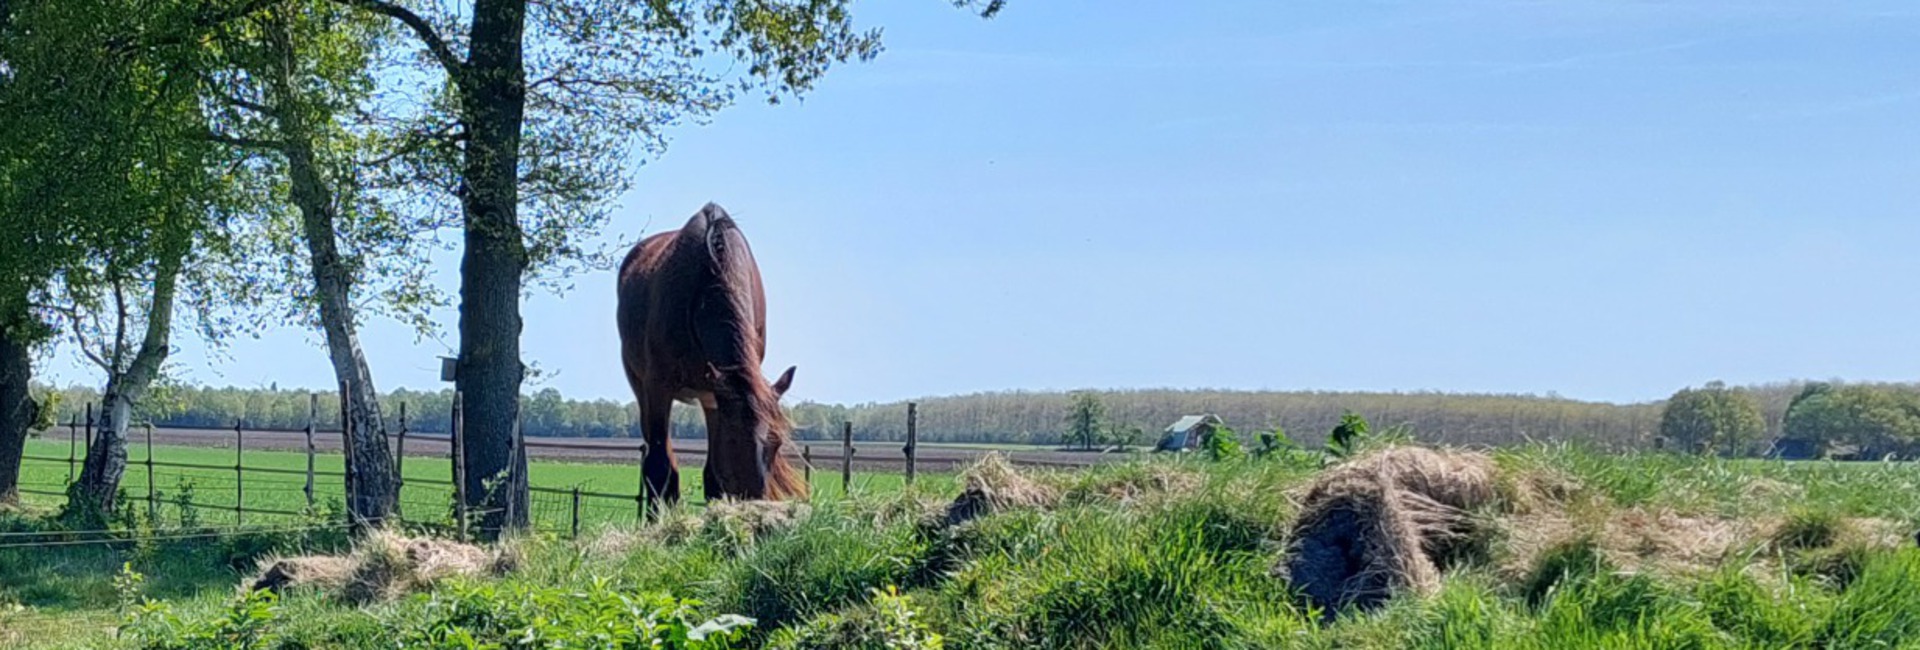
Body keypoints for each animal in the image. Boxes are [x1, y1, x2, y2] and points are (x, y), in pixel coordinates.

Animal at [610, 201, 798, 506]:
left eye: (776, 442)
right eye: (733, 439)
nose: (753, 500)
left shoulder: (714, 396)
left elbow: (713, 475)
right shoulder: (658, 387)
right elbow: (660, 468)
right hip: (641, 387)